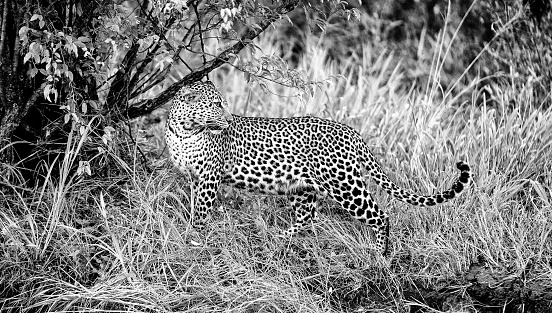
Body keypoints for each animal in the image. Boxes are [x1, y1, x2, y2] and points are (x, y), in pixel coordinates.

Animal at [164, 80, 470, 254]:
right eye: (216, 105)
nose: (228, 119)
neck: (184, 131)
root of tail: (352, 132)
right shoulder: (194, 178)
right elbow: (193, 205)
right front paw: (190, 230)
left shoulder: (209, 177)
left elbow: (202, 210)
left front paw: (195, 235)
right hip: (301, 186)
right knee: (307, 216)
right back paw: (281, 237)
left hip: (345, 185)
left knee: (380, 215)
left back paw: (380, 253)